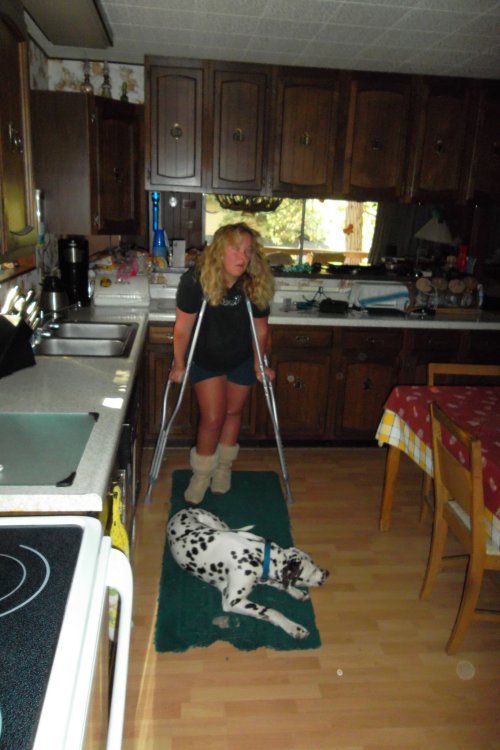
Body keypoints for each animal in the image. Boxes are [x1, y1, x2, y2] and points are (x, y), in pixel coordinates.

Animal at [167, 506, 328, 640]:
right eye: (313, 570)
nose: (327, 573)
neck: (257, 554)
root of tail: (184, 510)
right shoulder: (232, 601)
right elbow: (271, 610)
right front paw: (294, 627)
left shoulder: (263, 577)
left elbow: (282, 584)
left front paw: (297, 592)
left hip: (219, 525)